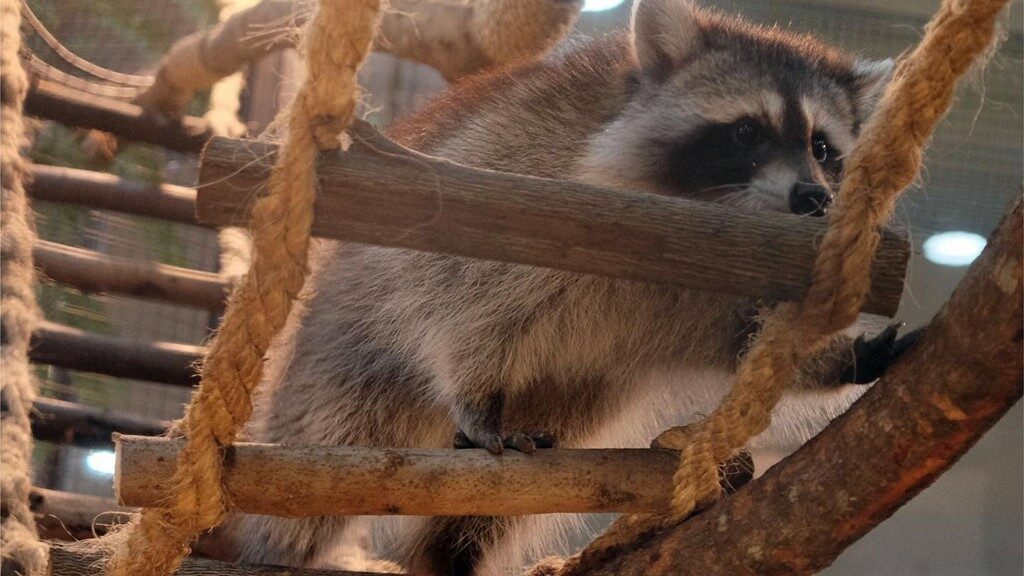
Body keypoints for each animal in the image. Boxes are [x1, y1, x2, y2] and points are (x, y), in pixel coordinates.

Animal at [203, 0, 901, 569]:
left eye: (823, 147)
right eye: (747, 130)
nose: (814, 197)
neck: (715, 219)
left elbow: (743, 342)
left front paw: (831, 358)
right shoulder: (530, 196)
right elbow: (462, 305)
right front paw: (476, 393)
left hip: (574, 398)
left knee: (489, 515)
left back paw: (451, 557)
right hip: (344, 347)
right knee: (325, 456)